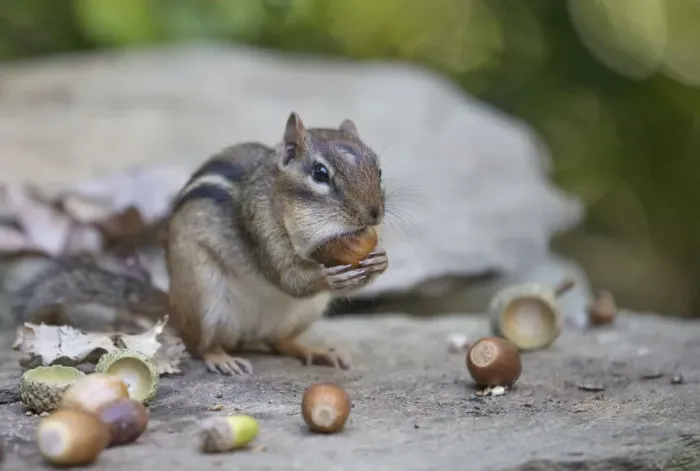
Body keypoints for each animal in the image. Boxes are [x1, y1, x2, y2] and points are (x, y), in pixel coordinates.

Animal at [166, 112, 388, 375]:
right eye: (320, 173)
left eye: (379, 171)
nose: (374, 214)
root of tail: (249, 336)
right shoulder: (262, 231)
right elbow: (288, 277)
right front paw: (327, 277)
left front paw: (380, 261)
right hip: (205, 300)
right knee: (203, 346)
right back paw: (222, 359)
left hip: (305, 312)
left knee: (280, 342)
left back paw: (316, 351)